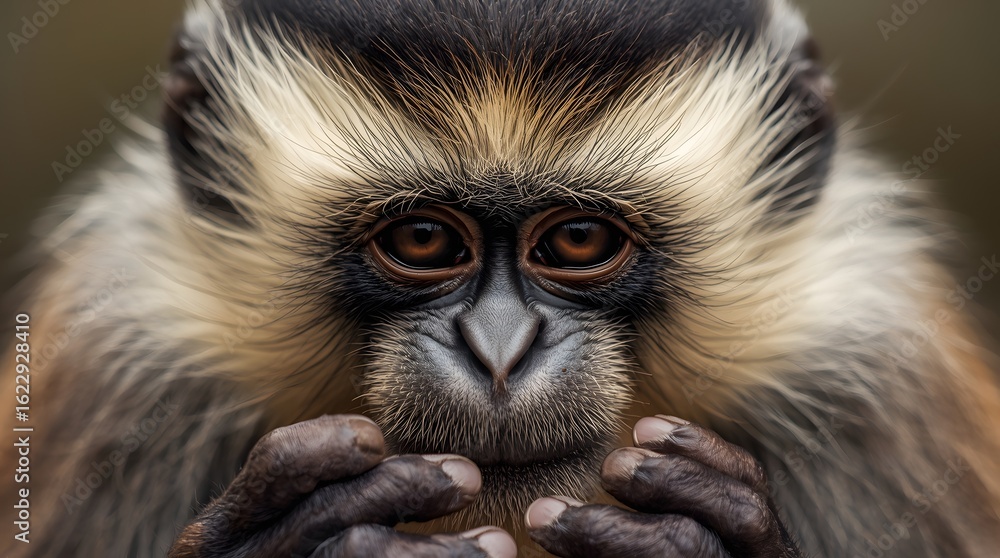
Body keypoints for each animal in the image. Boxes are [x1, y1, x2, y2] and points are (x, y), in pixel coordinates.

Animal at [3, 0, 1000, 556]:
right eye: (421, 239)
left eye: (580, 239)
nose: (499, 353)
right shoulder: (133, 367)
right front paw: (297, 533)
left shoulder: (864, 380)